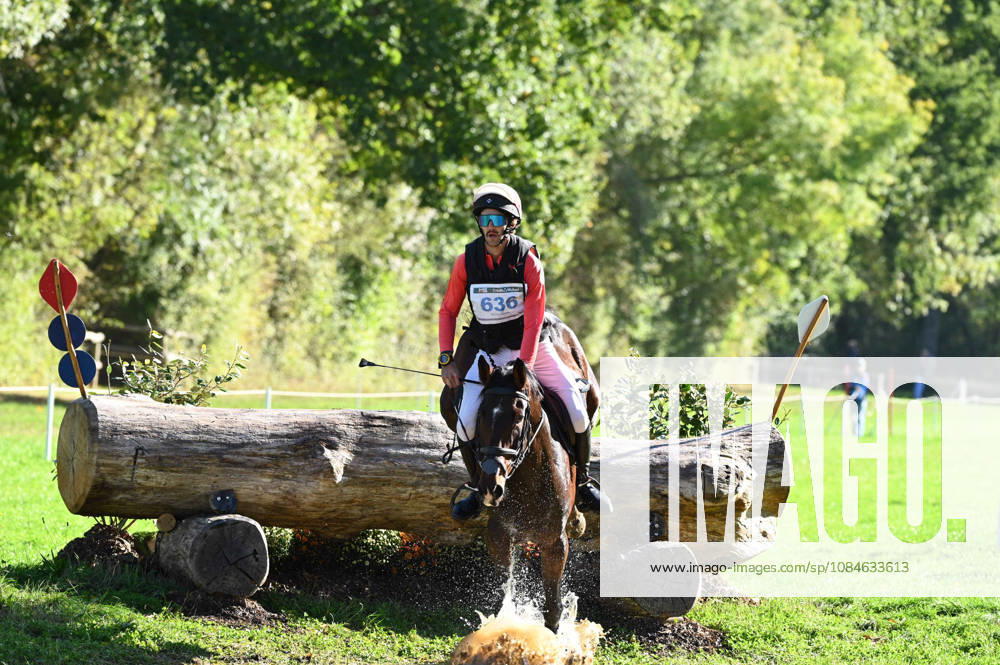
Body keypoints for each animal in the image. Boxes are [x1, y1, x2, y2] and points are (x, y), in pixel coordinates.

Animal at [440, 311, 600, 632]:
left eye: (518, 417)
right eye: (481, 416)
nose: (491, 486)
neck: (528, 478)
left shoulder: (554, 542)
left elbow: (553, 608)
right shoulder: (500, 535)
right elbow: (506, 597)